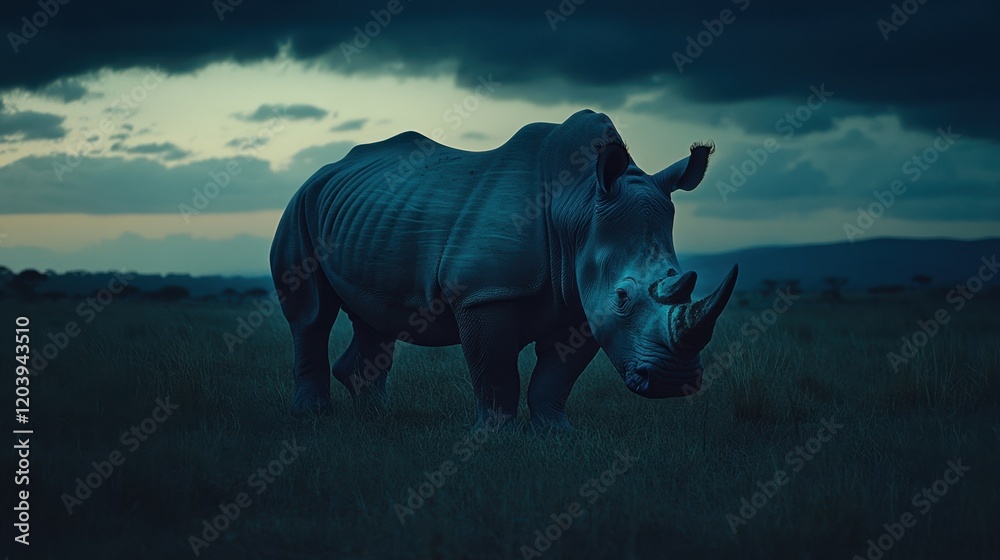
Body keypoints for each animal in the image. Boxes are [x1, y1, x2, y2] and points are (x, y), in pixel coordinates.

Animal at [270, 109, 738, 430]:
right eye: (623, 297)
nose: (674, 382)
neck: (579, 206)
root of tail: (326, 170)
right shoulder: (484, 293)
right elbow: (495, 371)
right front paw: (495, 437)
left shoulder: (583, 303)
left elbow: (556, 377)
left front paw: (555, 434)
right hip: (299, 205)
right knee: (312, 314)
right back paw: (313, 417)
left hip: (368, 218)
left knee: (374, 318)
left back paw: (380, 418)